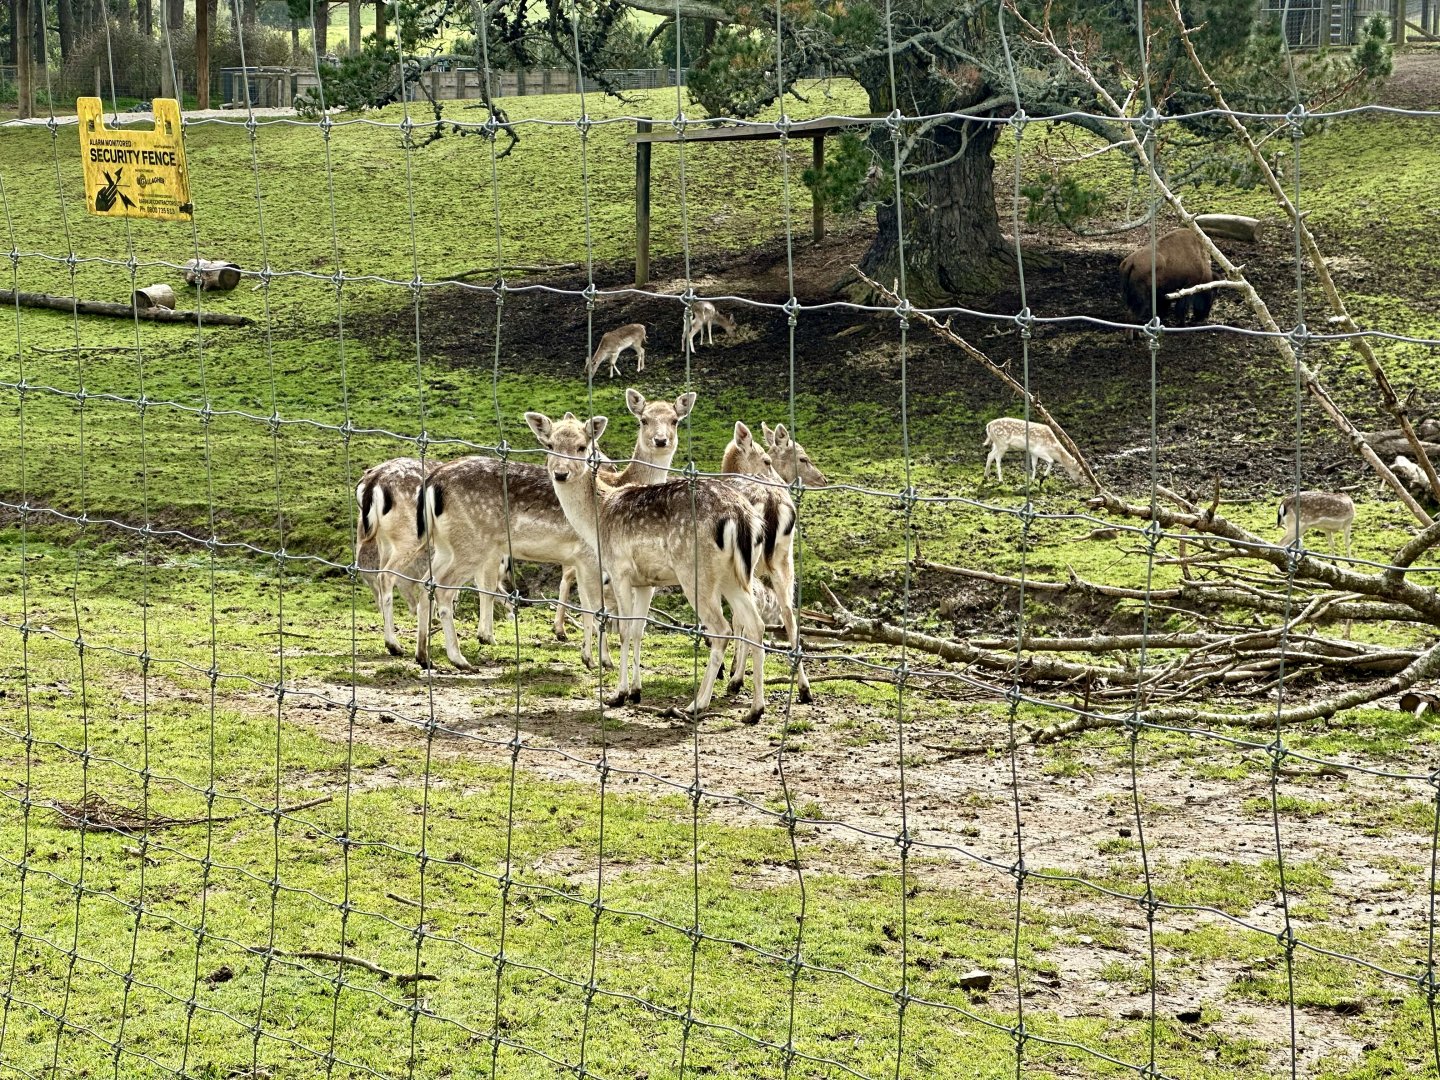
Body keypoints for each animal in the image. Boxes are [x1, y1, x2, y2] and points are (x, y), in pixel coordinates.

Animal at [721, 421, 813, 704]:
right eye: (766, 460)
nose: (783, 482)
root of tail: (772, 502)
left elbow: (737, 620)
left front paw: (730, 671)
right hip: (785, 558)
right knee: (790, 615)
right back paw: (804, 689)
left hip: (747, 563)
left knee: (753, 620)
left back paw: (737, 681)